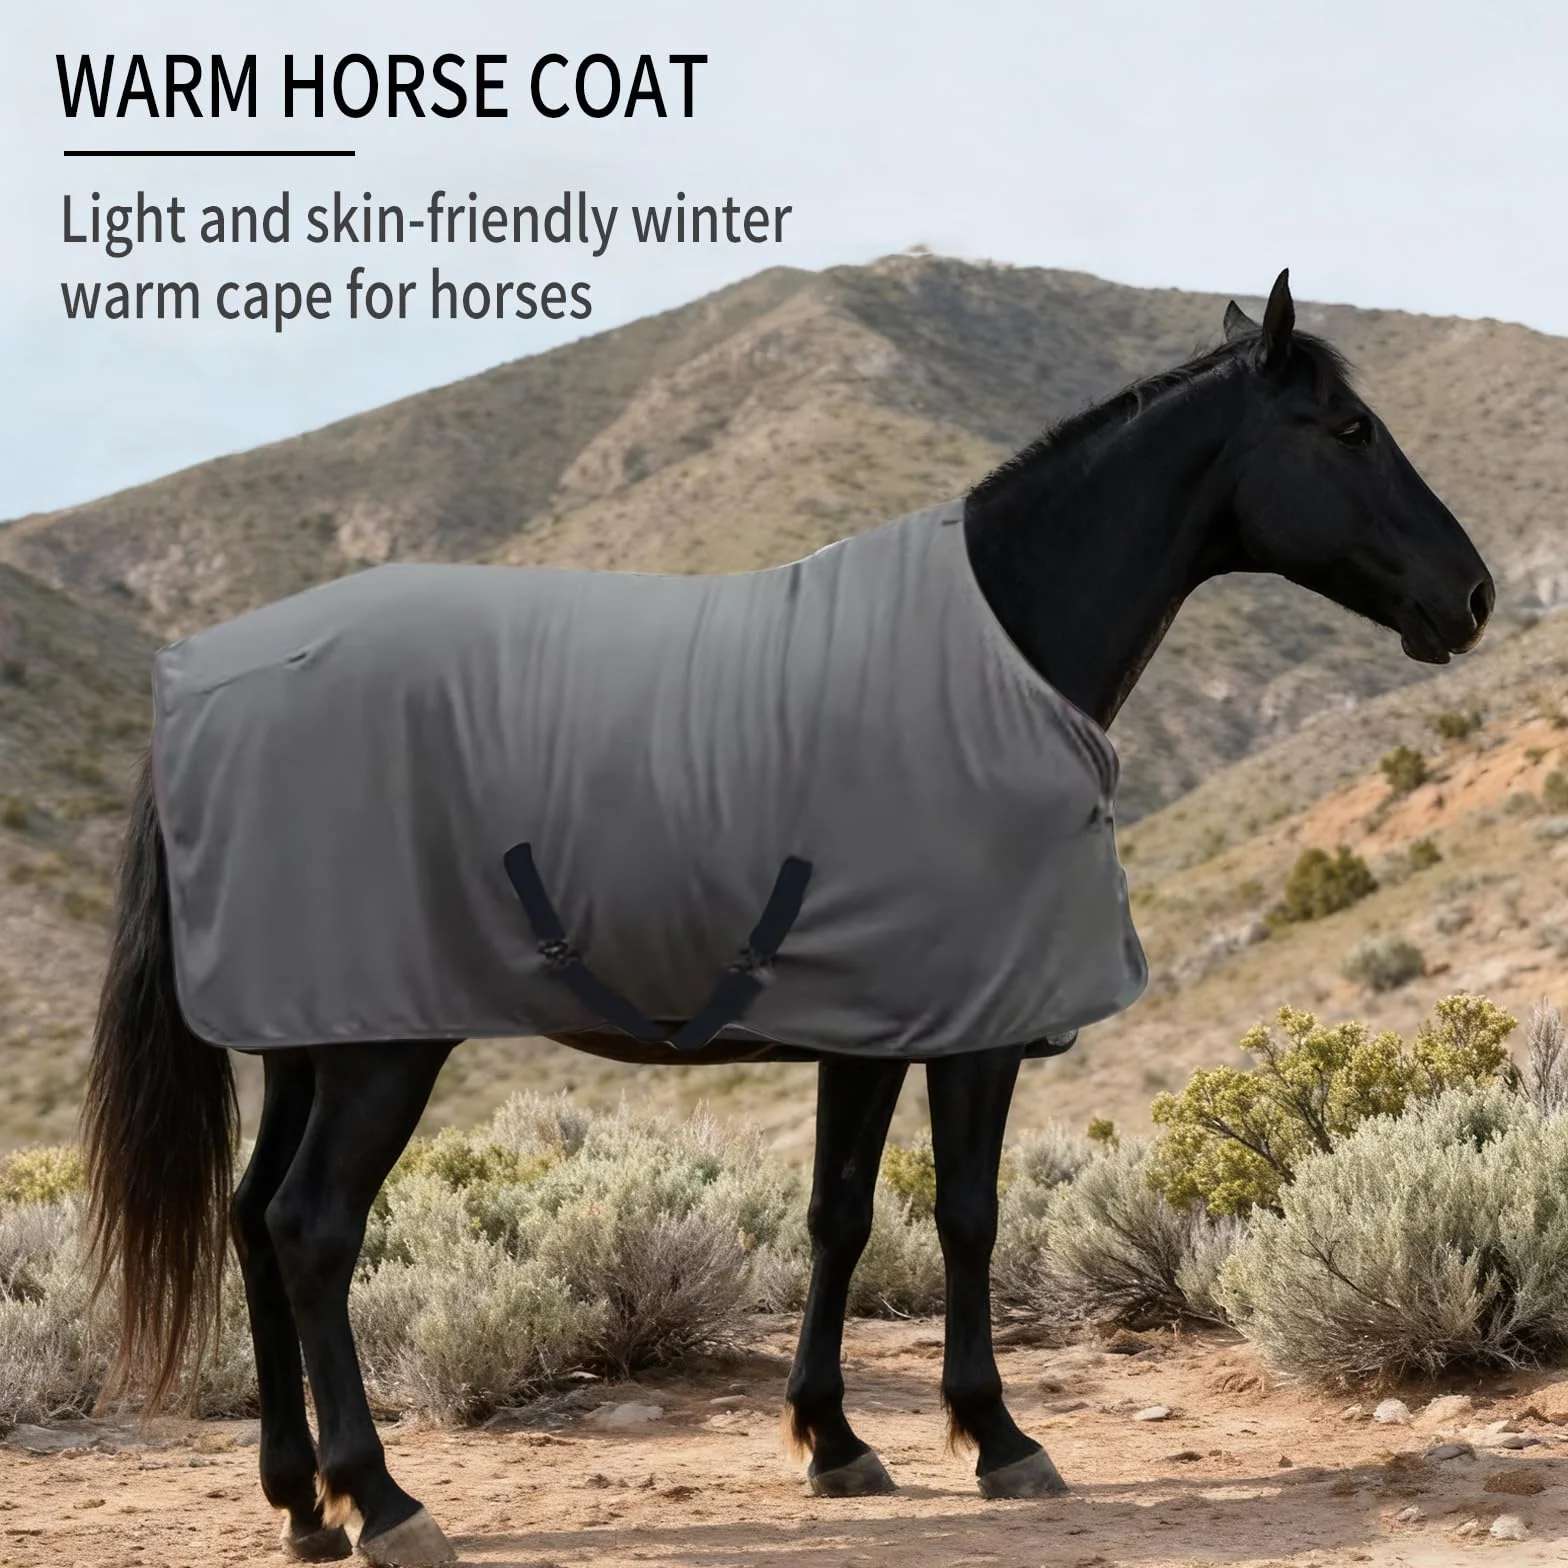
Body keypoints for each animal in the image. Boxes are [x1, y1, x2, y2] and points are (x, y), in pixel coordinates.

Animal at [83, 271, 1494, 1566]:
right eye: (1349, 429)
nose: (1472, 595)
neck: (996, 648)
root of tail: (200, 689)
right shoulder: (975, 1028)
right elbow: (966, 1214)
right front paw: (997, 1436)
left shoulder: (867, 1022)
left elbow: (841, 1214)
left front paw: (834, 1439)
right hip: (382, 1042)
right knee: (313, 1227)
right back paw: (380, 1500)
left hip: (309, 1030)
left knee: (251, 1219)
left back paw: (297, 1503)